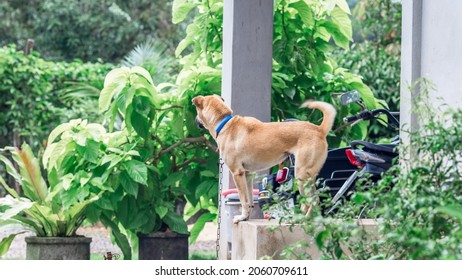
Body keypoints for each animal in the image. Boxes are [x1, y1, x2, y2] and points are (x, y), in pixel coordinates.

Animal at [191, 95, 336, 224]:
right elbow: (249, 200)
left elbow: (243, 200)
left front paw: (241, 217)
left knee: (311, 201)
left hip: (301, 174)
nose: (195, 120)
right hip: (308, 177)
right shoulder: (248, 174)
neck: (225, 123)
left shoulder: (237, 173)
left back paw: (302, 220)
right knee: (313, 200)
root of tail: (319, 129)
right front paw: (246, 217)